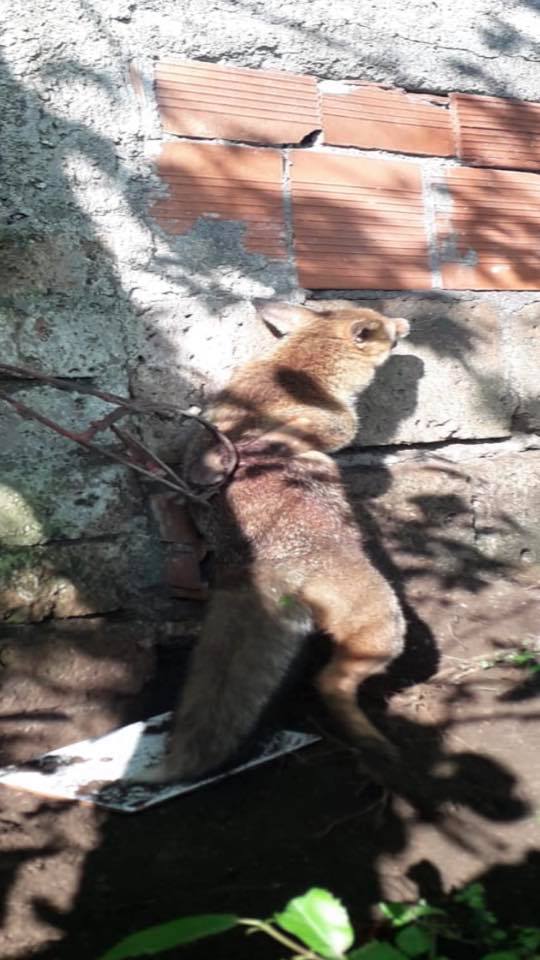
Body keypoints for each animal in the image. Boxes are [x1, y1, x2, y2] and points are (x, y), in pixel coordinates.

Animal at [145, 300, 410, 783]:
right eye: (384, 326)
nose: (407, 321)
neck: (299, 369)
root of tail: (257, 565)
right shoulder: (331, 425)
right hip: (385, 627)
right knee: (328, 683)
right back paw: (373, 744)